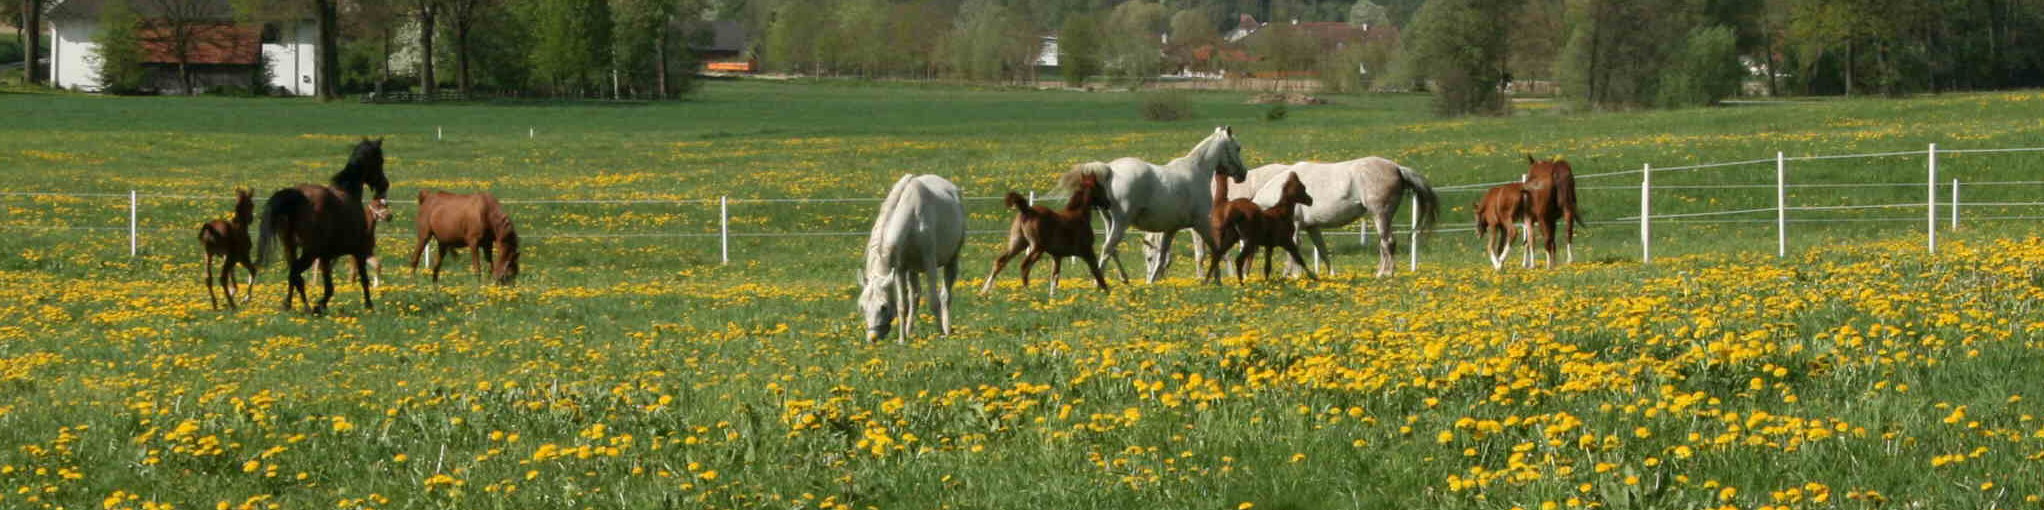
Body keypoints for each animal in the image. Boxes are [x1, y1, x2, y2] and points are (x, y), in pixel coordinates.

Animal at [257, 139, 388, 314]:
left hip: (290, 247)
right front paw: (369, 305)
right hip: (309, 251)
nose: (384, 185)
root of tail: (297, 196)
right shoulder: (358, 251)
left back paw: (291, 305)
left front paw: (321, 305)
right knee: (295, 273)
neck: (348, 193)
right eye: (380, 160)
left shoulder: (326, 256)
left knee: (294, 276)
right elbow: (363, 278)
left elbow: (329, 286)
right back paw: (306, 307)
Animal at [854, 173, 964, 344]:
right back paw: (908, 331)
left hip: (952, 260)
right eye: (862, 306)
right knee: (914, 299)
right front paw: (902, 339)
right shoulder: (900, 269)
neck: (913, 219)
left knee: (946, 297)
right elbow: (902, 305)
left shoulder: (930, 265)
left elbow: (934, 302)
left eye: (883, 307)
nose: (872, 338)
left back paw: (946, 330)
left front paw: (940, 334)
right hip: (912, 270)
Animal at [977, 172, 1120, 295]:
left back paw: (984, 292)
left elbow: (1054, 278)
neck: (1079, 214)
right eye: (1100, 187)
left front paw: (1053, 298)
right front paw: (1108, 294)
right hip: (1037, 247)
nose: (1108, 203)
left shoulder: (1057, 256)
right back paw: (1027, 292)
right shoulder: (1087, 251)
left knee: (1000, 262)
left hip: (1017, 243)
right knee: (1024, 266)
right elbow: (1097, 273)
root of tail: (1027, 210)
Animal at [1071, 123, 1242, 283]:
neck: (1197, 171)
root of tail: (1110, 170)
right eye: (1238, 148)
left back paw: (1124, 278)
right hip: (1121, 222)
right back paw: (1099, 284)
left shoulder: (1171, 229)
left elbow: (1162, 258)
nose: (1242, 174)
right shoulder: (1201, 223)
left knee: (1112, 250)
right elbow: (1215, 249)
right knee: (1108, 248)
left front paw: (1151, 282)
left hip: (1109, 221)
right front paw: (1216, 282)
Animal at [1193, 155, 1438, 277]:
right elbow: (1322, 250)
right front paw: (1330, 275)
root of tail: (1397, 167)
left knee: (1388, 243)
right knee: (1383, 244)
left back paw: (1384, 274)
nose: (1242, 273)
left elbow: (1293, 250)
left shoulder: (1294, 227)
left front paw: (1291, 275)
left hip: (1380, 214)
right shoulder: (1311, 227)